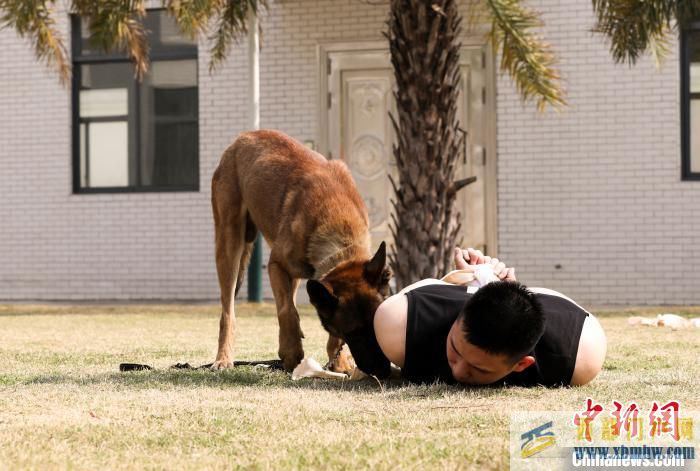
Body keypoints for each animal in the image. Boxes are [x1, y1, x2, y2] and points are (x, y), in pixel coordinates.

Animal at [208, 130, 394, 380]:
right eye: (353, 334)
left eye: (378, 327)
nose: (382, 372)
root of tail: (243, 137)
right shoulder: (276, 265)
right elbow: (287, 311)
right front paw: (291, 353)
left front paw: (340, 361)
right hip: (230, 245)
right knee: (228, 312)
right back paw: (224, 358)